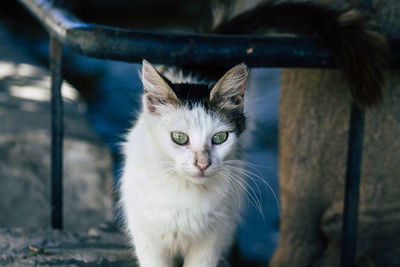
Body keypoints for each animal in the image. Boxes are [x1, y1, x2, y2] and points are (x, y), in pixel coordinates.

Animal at [119, 60, 250, 267]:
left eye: (220, 137)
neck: (185, 190)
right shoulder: (147, 237)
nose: (202, 164)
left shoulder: (212, 240)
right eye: (179, 138)